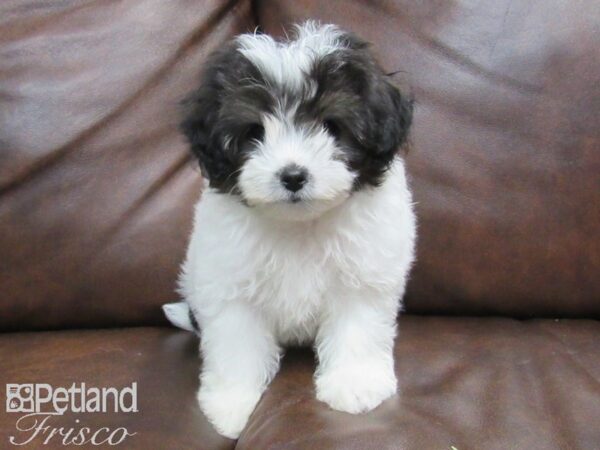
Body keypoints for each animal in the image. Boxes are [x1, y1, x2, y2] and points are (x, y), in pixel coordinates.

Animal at [164, 22, 418, 440]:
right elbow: (236, 343)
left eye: (332, 126)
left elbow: (357, 327)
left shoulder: (362, 275)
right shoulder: (231, 284)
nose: (293, 176)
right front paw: (232, 402)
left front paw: (354, 384)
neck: (299, 225)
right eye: (254, 132)